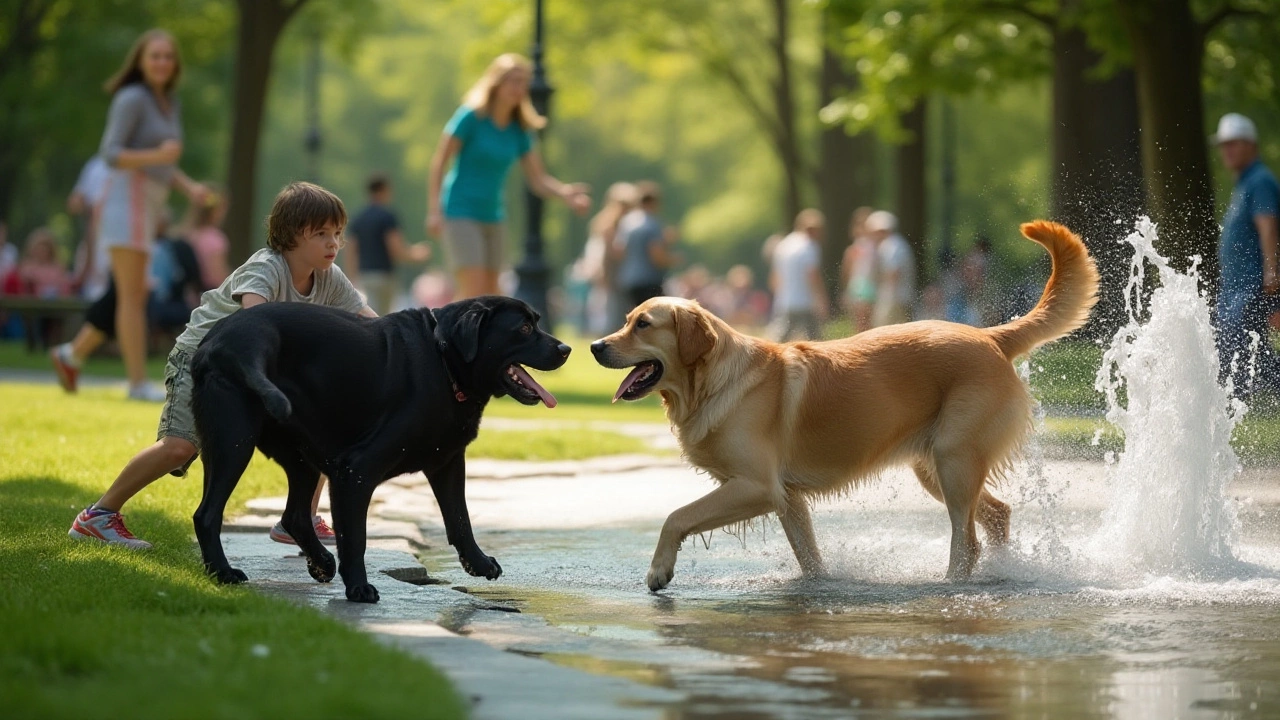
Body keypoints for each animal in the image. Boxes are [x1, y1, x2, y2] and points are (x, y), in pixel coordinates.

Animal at [189, 293, 570, 599]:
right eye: (524, 328)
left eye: (536, 322)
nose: (566, 349)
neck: (445, 361)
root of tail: (216, 341)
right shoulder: (356, 470)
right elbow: (356, 536)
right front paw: (358, 588)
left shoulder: (447, 463)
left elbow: (460, 518)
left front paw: (477, 562)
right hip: (234, 441)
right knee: (207, 514)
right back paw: (222, 571)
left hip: (298, 457)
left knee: (294, 515)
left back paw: (321, 562)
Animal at [591, 220, 1100, 589]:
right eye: (625, 320)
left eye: (643, 324)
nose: (595, 346)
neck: (713, 381)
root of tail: (990, 335)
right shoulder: (788, 498)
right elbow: (809, 557)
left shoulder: (756, 486)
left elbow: (676, 516)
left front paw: (659, 570)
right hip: (936, 466)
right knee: (997, 515)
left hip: (954, 460)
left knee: (967, 540)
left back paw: (952, 585)